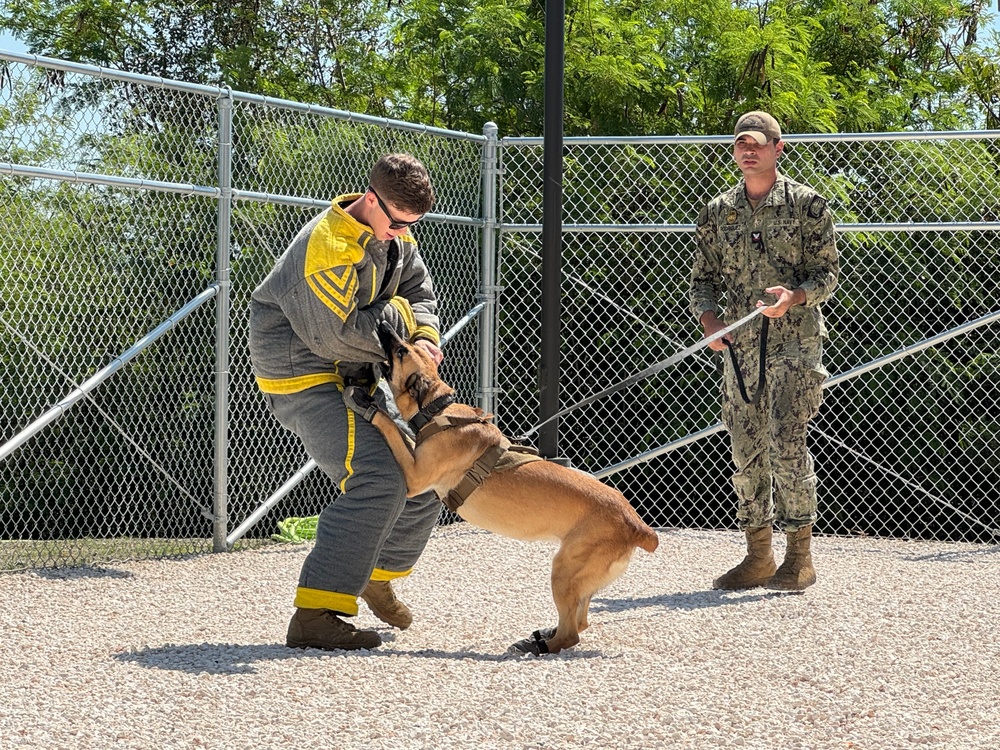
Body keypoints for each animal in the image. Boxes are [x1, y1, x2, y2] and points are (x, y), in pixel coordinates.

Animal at [348, 324, 660, 656]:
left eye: (401, 350)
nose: (384, 326)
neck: (437, 409)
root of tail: (635, 523)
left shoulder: (416, 477)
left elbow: (392, 428)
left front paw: (367, 405)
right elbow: (403, 434)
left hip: (564, 570)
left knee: (571, 634)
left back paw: (542, 645)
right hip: (578, 577)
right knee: (580, 622)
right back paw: (539, 637)